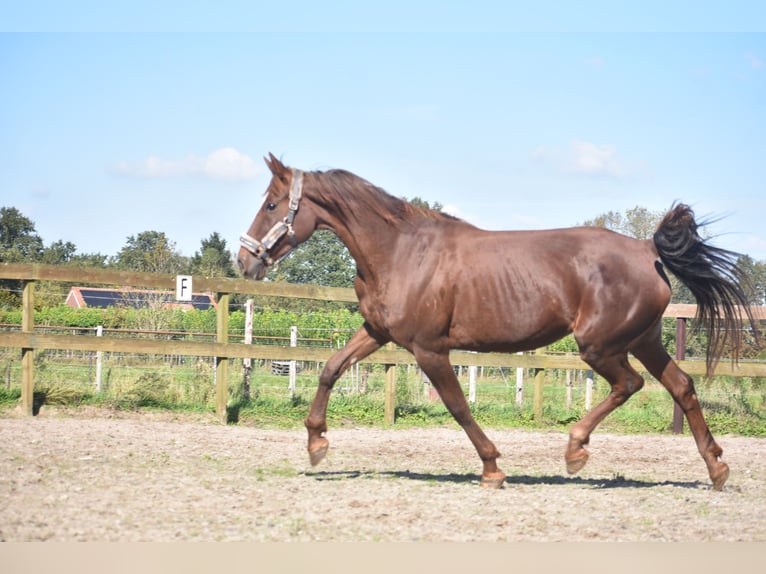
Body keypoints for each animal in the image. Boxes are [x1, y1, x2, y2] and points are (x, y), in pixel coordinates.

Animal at [237, 155, 760, 492]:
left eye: (271, 206)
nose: (245, 260)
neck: (401, 251)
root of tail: (648, 250)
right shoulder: (379, 334)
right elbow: (330, 368)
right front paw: (316, 444)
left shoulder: (429, 349)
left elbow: (457, 406)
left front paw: (492, 468)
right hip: (644, 340)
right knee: (682, 386)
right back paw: (716, 470)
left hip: (601, 345)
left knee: (629, 385)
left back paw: (575, 451)